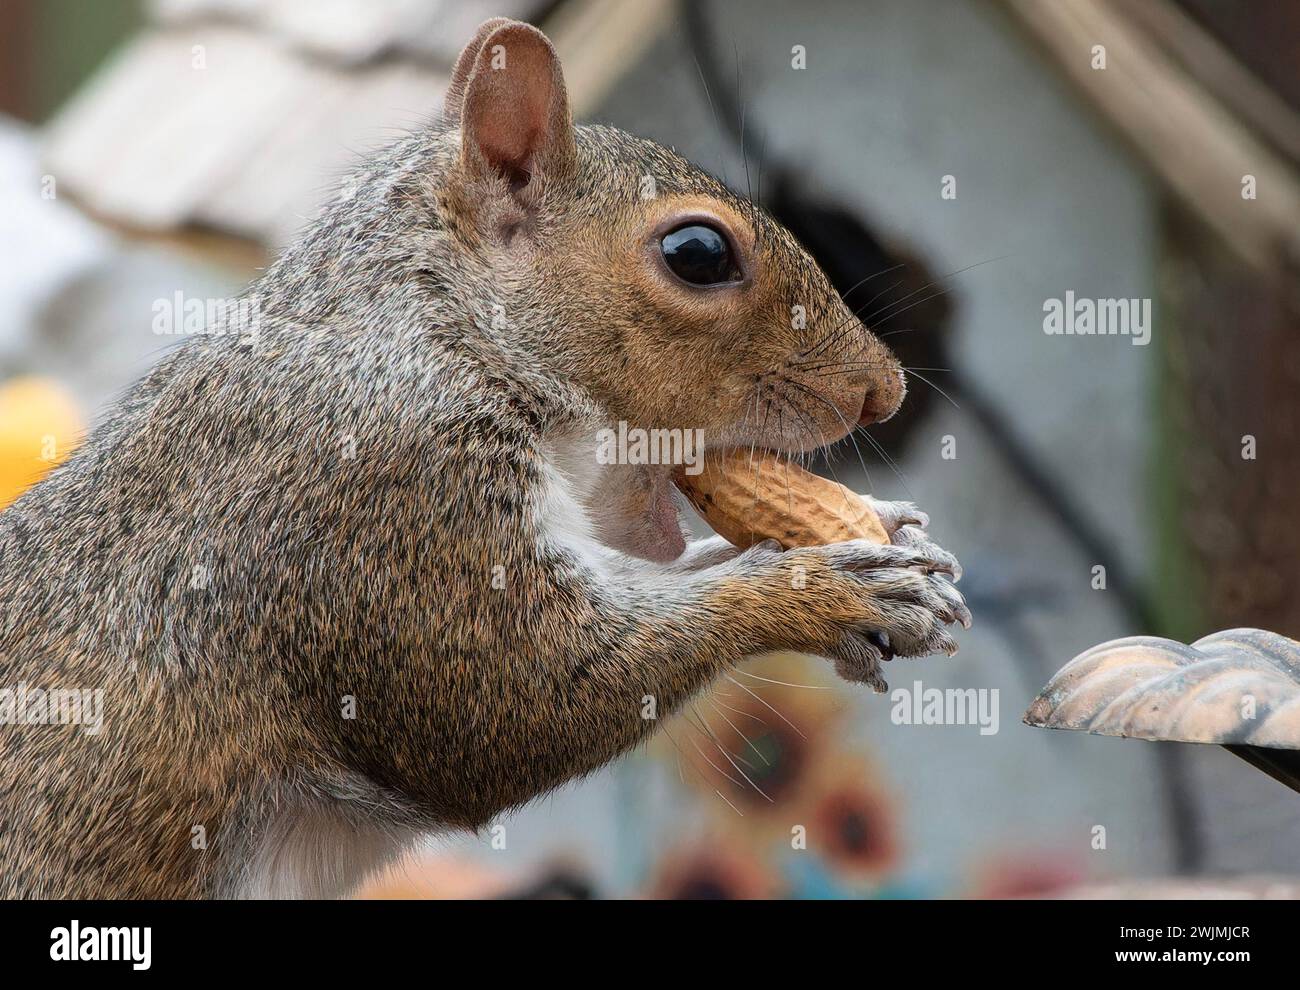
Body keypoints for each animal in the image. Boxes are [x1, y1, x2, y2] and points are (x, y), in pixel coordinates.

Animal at [0, 17, 967, 893]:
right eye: (697, 253)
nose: (885, 391)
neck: (445, 330)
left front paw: (886, 534)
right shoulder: (383, 496)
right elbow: (523, 699)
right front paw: (833, 590)